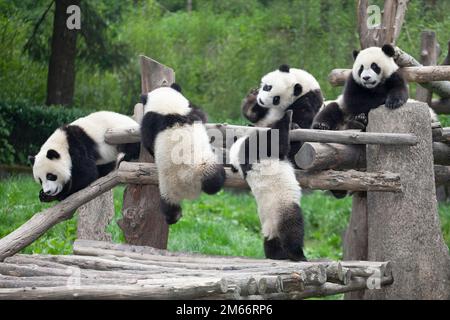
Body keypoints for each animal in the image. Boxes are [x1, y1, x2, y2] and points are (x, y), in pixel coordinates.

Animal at [141, 84, 225, 226]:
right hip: (192, 174)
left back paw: (172, 217)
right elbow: (147, 140)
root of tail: (188, 181)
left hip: (173, 186)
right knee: (215, 183)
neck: (169, 109)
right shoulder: (153, 120)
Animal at [230, 111, 308, 262]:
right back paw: (298, 255)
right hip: (283, 208)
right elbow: (278, 142)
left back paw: (277, 255)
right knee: (292, 229)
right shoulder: (255, 148)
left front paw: (295, 126)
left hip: (269, 226)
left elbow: (294, 158)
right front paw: (288, 116)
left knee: (270, 242)